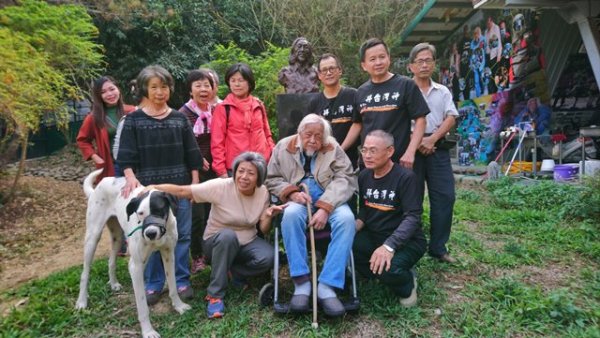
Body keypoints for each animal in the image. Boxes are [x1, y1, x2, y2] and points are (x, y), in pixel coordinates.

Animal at [76, 169, 190, 338]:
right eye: (140, 213)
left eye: (159, 210)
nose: (150, 233)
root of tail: (103, 182)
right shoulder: (135, 266)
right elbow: (142, 304)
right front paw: (148, 331)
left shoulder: (169, 254)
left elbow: (173, 286)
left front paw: (179, 306)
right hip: (93, 237)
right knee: (85, 273)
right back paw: (81, 301)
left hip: (117, 237)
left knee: (111, 261)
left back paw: (114, 283)